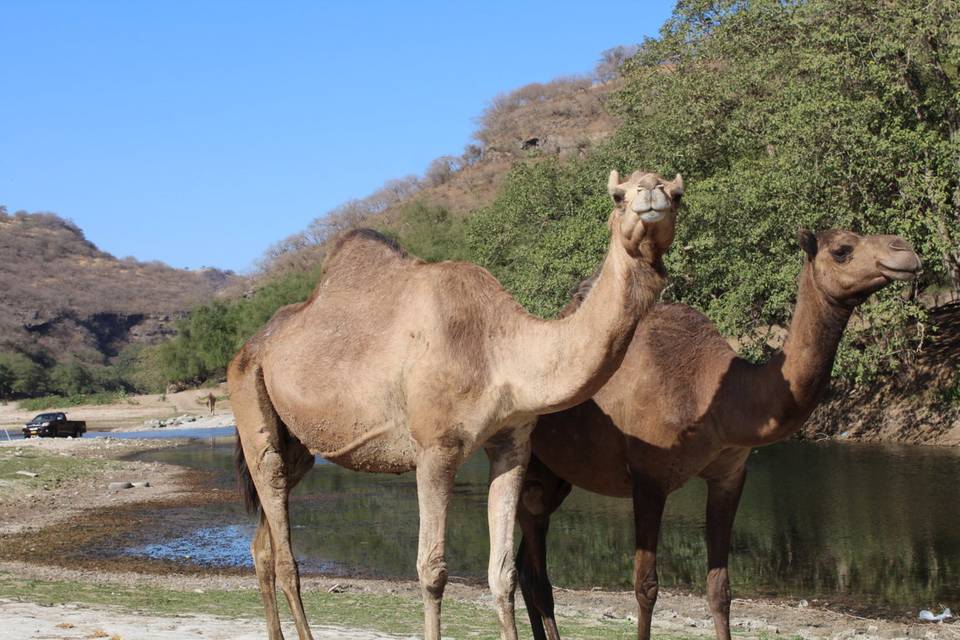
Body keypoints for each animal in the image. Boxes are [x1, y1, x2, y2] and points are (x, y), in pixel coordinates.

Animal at [516, 229, 924, 640]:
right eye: (842, 250)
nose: (906, 252)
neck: (714, 393)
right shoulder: (649, 478)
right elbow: (646, 586)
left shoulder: (729, 474)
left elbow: (720, 589)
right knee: (534, 574)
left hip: (554, 479)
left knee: (524, 566)